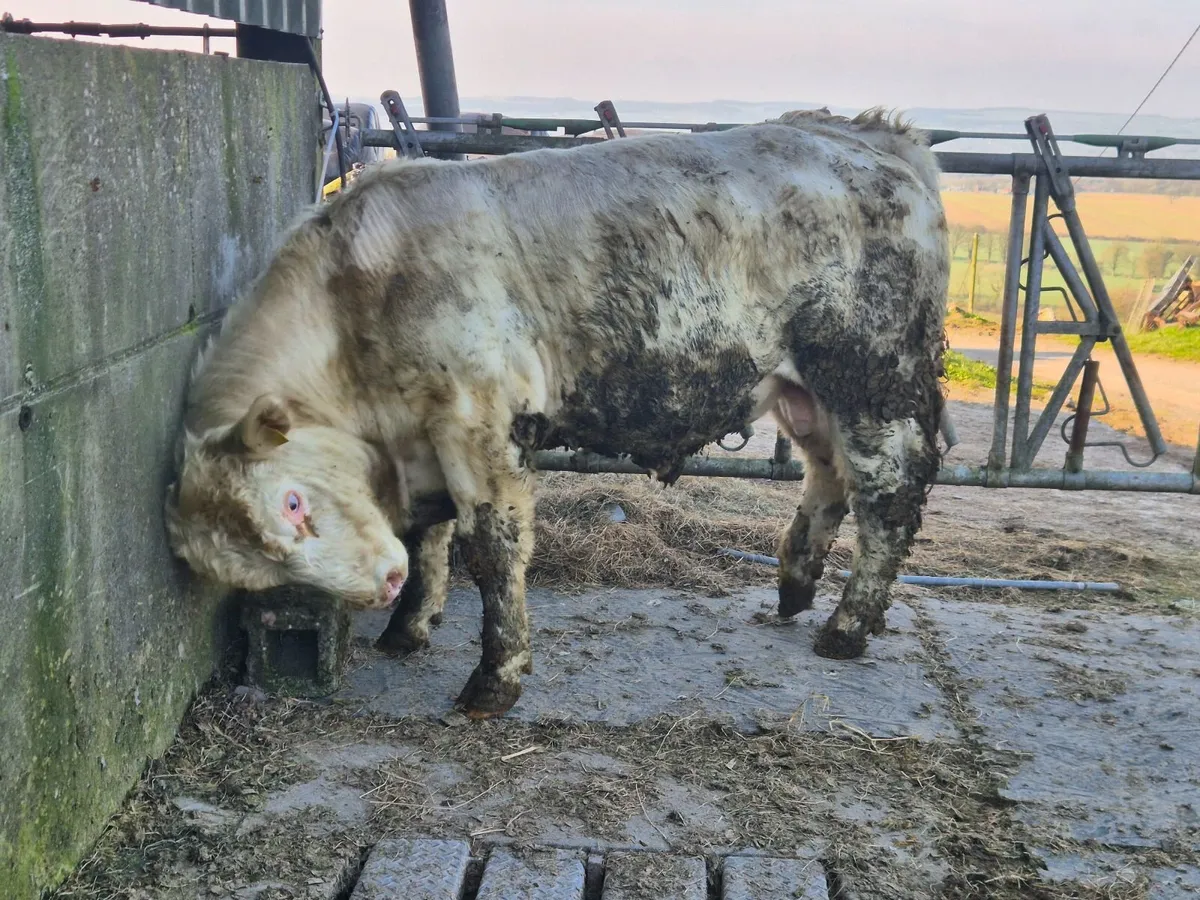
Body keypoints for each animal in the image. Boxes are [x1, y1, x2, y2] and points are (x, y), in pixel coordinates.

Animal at [164, 107, 951, 719]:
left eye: (292, 501)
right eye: (258, 574)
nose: (379, 585)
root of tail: (869, 134)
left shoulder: (479, 417)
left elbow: (492, 547)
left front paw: (494, 678)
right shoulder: (422, 439)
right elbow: (429, 535)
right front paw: (409, 624)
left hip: (872, 376)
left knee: (890, 493)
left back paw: (846, 627)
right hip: (806, 393)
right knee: (829, 476)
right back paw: (794, 588)